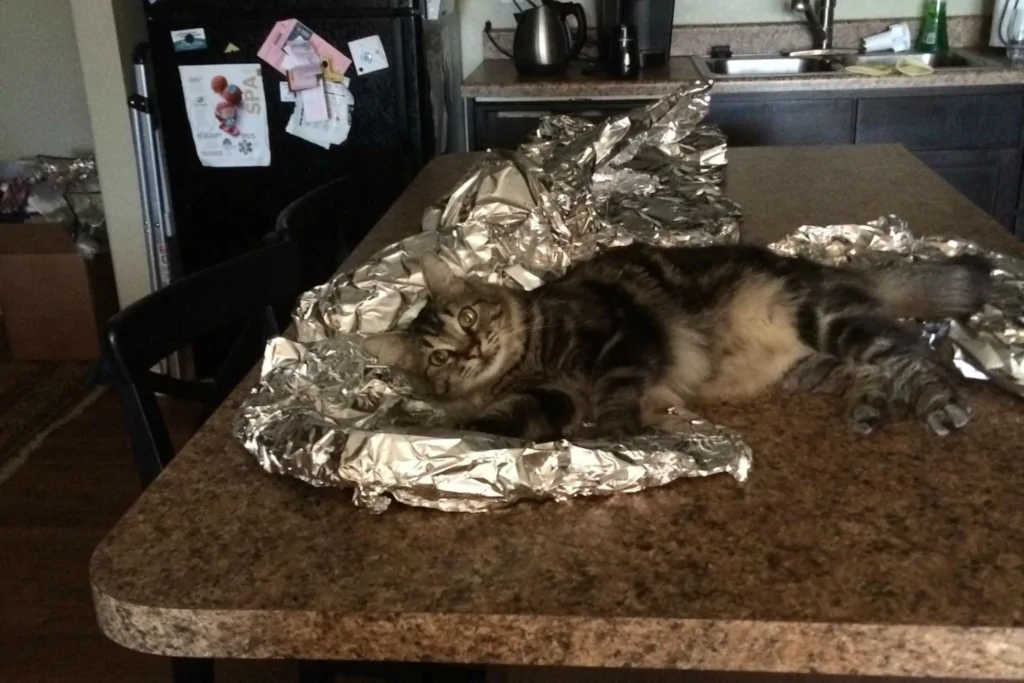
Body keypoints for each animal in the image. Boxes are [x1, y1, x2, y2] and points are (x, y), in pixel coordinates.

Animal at [360, 244, 991, 444]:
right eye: (439, 355)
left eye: (468, 316)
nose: (473, 349)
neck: (529, 356)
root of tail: (830, 270)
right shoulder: (550, 397)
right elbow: (496, 422)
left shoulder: (620, 340)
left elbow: (617, 395)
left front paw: (614, 434)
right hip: (816, 360)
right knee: (875, 370)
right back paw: (867, 409)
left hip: (824, 319)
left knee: (911, 355)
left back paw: (942, 406)